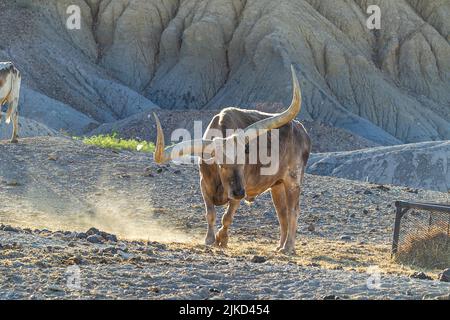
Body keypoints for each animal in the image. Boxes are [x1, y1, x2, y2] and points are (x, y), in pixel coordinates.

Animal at [153, 66, 312, 254]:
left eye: (244, 162)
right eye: (221, 164)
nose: (239, 192)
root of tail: (302, 130)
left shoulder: (240, 190)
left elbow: (227, 217)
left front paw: (222, 239)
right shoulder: (203, 185)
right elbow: (210, 214)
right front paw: (209, 239)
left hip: (293, 181)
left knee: (293, 211)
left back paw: (288, 247)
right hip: (277, 185)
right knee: (282, 213)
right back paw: (279, 245)